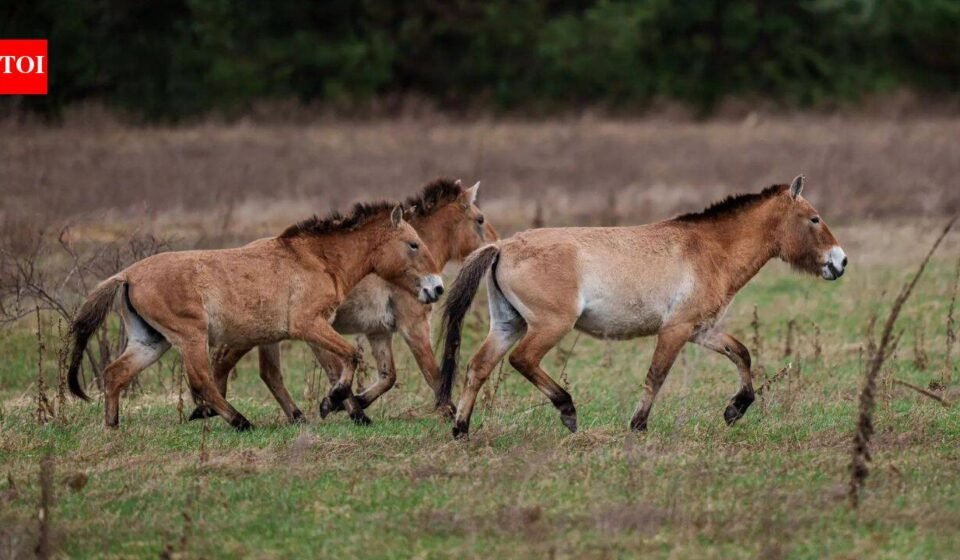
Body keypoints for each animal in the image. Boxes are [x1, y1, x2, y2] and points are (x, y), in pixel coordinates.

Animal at [66, 203, 443, 431]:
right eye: (413, 244)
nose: (436, 288)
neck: (317, 259)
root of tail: (128, 274)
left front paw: (333, 405)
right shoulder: (308, 325)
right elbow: (351, 356)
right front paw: (331, 401)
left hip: (151, 342)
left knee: (115, 374)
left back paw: (112, 427)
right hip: (190, 337)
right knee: (202, 381)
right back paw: (240, 421)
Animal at [187, 178, 498, 424]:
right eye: (480, 219)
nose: (497, 247)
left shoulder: (378, 332)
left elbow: (387, 376)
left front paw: (353, 402)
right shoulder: (413, 327)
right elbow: (432, 373)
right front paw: (450, 412)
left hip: (268, 335)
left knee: (265, 372)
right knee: (225, 363)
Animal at [439, 176, 847, 439]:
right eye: (814, 219)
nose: (840, 262)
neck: (709, 249)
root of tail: (503, 246)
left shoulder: (700, 330)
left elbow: (742, 354)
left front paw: (735, 409)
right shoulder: (675, 331)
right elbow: (656, 376)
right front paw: (638, 425)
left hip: (509, 325)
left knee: (478, 367)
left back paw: (461, 429)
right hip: (549, 326)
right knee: (522, 360)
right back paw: (567, 411)